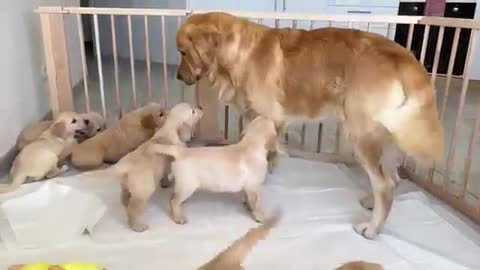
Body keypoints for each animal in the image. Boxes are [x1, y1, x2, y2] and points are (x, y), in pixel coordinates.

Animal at [87, 102, 203, 231]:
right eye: (193, 111)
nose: (201, 108)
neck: (169, 127)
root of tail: (123, 165)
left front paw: (165, 183)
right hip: (144, 190)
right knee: (133, 209)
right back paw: (137, 226)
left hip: (126, 184)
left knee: (124, 196)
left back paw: (125, 203)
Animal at [150, 115, 278, 224]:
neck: (250, 145)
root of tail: (181, 151)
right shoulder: (253, 187)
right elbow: (256, 204)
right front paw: (261, 218)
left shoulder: (249, 187)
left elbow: (248, 198)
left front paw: (247, 206)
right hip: (188, 185)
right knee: (174, 201)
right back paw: (178, 218)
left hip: (182, 184)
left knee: (172, 196)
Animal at [175, 12, 442, 238]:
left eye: (183, 52)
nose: (178, 76)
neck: (240, 53)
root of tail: (403, 55)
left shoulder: (268, 117)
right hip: (386, 136)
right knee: (393, 179)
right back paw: (370, 201)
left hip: (361, 134)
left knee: (384, 184)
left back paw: (372, 227)